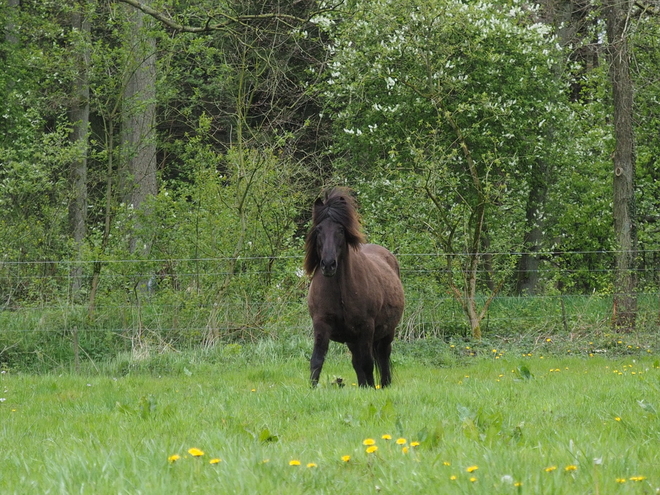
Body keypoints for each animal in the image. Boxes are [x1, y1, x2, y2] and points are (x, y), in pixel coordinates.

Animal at [302, 188, 404, 390]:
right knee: (358, 361)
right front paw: (312, 388)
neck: (340, 291)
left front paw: (371, 388)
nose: (328, 265)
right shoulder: (321, 325)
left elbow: (368, 363)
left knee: (383, 357)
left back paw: (383, 385)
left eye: (340, 230)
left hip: (386, 332)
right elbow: (317, 360)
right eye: (318, 229)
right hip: (352, 339)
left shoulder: (366, 329)